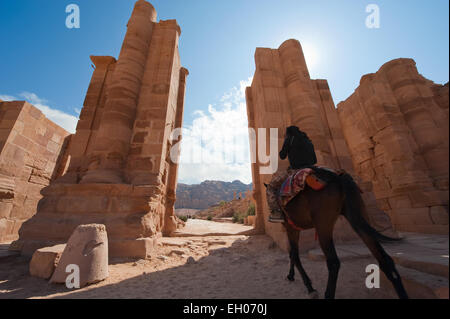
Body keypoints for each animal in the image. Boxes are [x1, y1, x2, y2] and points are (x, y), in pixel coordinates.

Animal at [264, 170, 408, 300]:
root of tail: (339, 178)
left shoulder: (291, 228)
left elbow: (294, 255)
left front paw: (309, 287)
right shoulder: (294, 229)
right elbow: (292, 254)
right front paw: (291, 275)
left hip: (323, 225)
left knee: (333, 263)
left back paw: (328, 295)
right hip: (358, 217)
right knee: (385, 260)